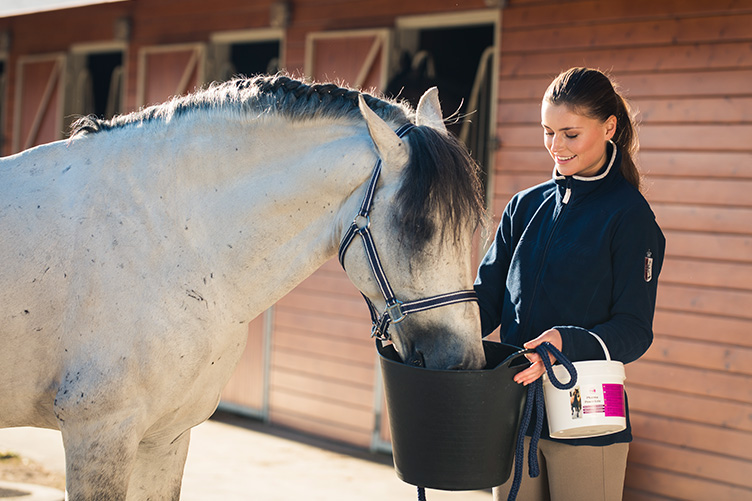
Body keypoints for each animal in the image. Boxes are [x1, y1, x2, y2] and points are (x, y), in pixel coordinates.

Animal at [0, 74, 486, 500]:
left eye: (472, 228)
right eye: (419, 228)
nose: (465, 364)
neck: (166, 237)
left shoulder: (165, 438)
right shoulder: (99, 435)